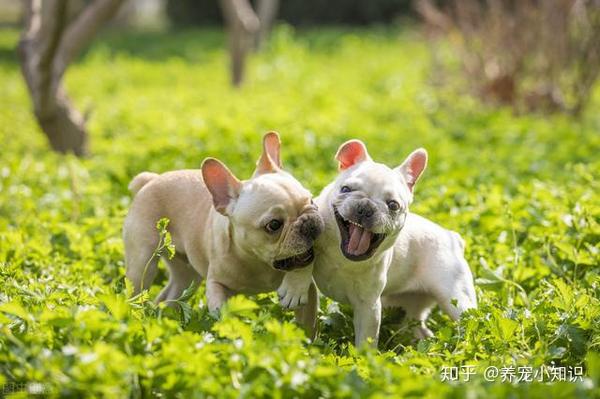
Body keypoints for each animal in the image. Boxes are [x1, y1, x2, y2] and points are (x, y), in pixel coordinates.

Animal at [123, 132, 324, 334]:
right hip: (142, 264)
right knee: (137, 290)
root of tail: (151, 180)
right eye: (274, 225)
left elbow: (307, 326)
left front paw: (295, 289)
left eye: (312, 201)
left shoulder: (309, 288)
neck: (258, 261)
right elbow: (222, 310)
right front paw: (230, 328)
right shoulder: (216, 284)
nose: (309, 224)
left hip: (187, 273)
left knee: (171, 294)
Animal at [312, 141, 476, 346]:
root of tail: (452, 237)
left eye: (393, 205)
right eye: (345, 189)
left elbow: (365, 341)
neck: (343, 258)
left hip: (456, 300)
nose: (365, 207)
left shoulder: (369, 307)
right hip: (403, 303)